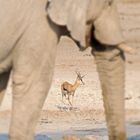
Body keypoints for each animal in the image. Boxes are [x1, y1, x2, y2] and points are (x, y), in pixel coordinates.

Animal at [0, 0, 130, 140]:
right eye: (80, 78)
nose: (83, 83)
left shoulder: (73, 93)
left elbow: (72, 100)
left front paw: (72, 107)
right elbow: (68, 100)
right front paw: (69, 108)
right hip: (61, 91)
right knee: (62, 98)